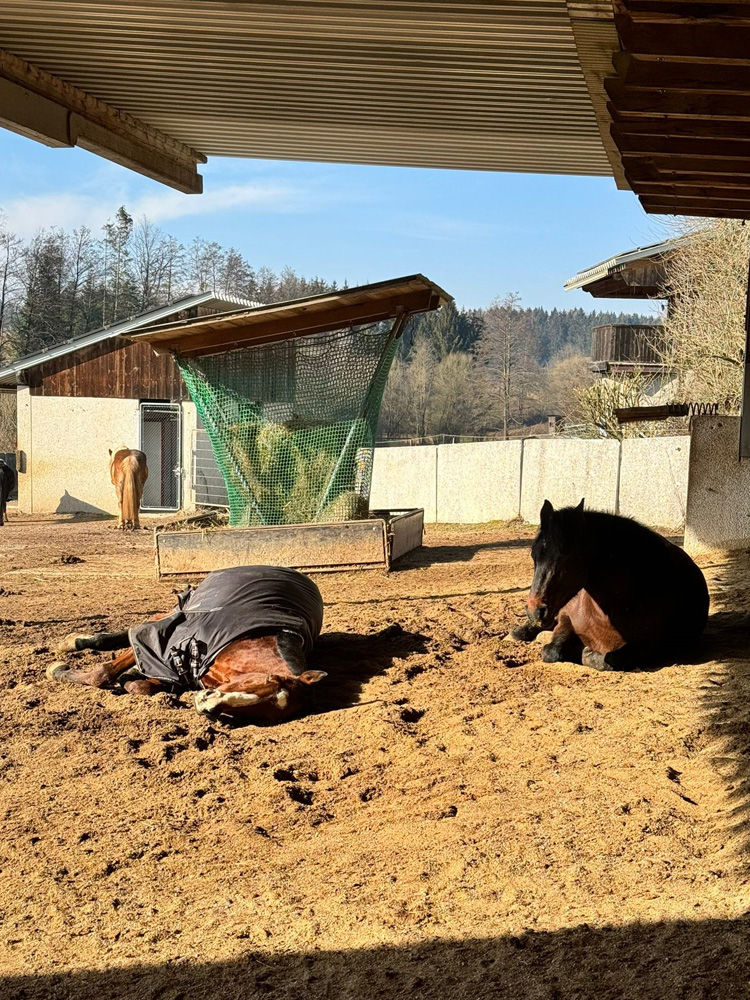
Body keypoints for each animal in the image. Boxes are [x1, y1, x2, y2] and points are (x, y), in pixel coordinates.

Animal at [46, 565, 327, 724]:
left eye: (265, 713)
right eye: (267, 680)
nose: (207, 703)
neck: (245, 644)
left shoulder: (173, 666)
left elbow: (141, 685)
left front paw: (132, 679)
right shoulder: (167, 636)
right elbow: (103, 672)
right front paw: (58, 670)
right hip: (177, 612)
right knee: (126, 631)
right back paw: (74, 642)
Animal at [511, 499, 710, 671]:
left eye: (564, 556)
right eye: (533, 555)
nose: (535, 611)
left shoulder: (646, 644)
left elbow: (608, 659)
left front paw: (585, 652)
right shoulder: (566, 619)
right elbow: (552, 651)